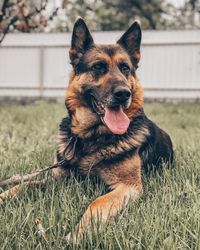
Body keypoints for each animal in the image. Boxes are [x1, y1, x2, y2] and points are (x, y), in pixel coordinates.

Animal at [0, 17, 173, 242]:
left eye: (125, 68)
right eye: (98, 67)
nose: (123, 93)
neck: (89, 138)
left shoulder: (129, 186)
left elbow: (97, 202)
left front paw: (79, 233)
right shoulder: (59, 176)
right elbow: (26, 185)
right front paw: (4, 195)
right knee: (24, 177)